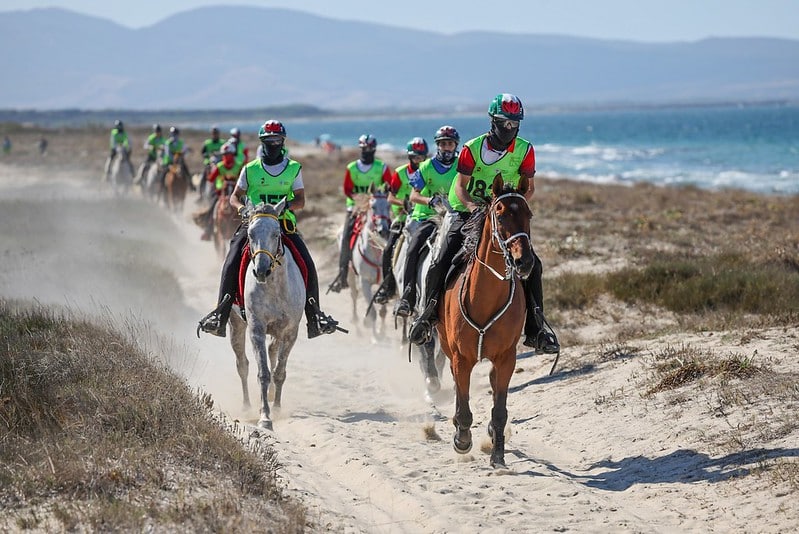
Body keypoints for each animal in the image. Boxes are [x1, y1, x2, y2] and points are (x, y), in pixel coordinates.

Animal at [231, 200, 310, 432]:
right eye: (250, 234)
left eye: (276, 233)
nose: (261, 271)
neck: (274, 286)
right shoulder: (256, 329)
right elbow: (263, 373)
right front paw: (265, 417)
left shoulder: (290, 332)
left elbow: (279, 372)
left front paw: (276, 409)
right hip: (235, 326)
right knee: (242, 365)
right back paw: (247, 407)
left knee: (273, 351)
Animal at [346, 186, 392, 342]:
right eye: (373, 206)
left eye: (389, 206)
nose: (383, 230)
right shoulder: (365, 282)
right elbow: (372, 313)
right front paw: (375, 336)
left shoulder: (384, 284)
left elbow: (383, 311)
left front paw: (381, 332)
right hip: (350, 274)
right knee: (354, 295)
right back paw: (357, 326)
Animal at [438, 176, 532, 468]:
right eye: (500, 216)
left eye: (529, 215)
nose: (524, 261)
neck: (485, 297)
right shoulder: (461, 357)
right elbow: (464, 402)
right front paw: (462, 439)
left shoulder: (507, 357)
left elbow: (500, 410)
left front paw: (498, 456)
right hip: (447, 347)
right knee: (457, 385)